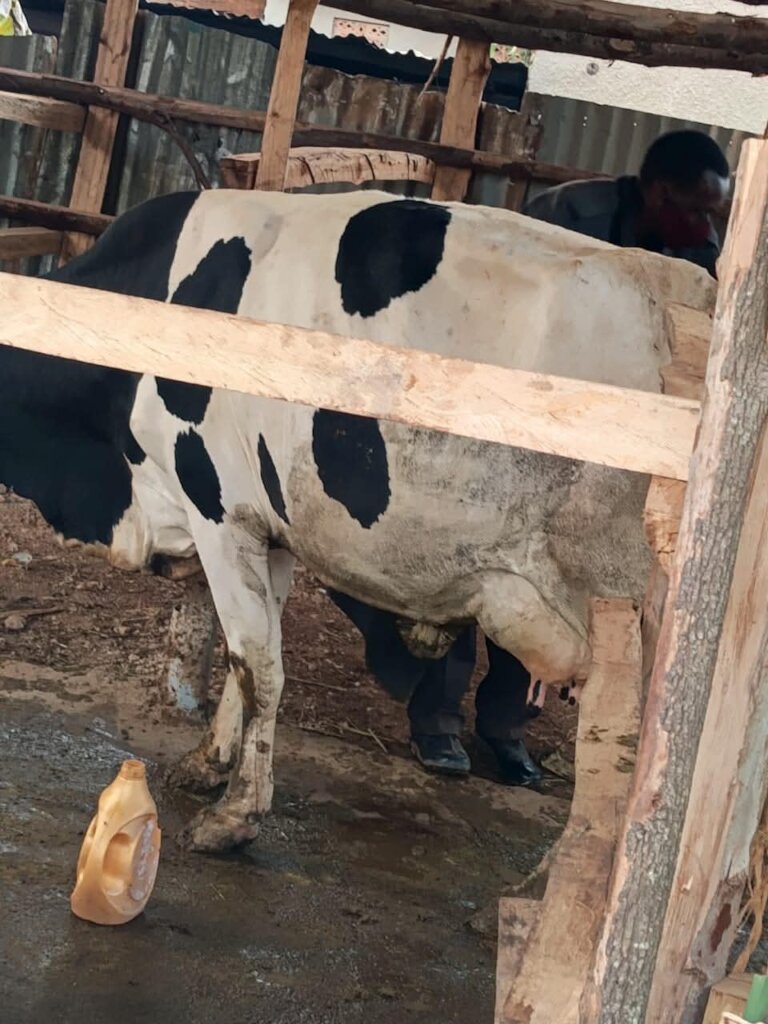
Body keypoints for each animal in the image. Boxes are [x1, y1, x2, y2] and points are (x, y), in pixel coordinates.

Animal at [0, 188, 715, 852]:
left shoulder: (218, 510)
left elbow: (258, 665)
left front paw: (235, 817)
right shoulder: (270, 527)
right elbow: (247, 658)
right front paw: (210, 763)